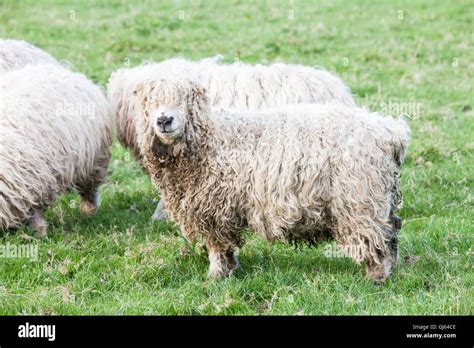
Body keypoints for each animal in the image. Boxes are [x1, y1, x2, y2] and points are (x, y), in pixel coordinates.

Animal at [0, 63, 112, 235]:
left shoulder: (35, 178)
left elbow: (35, 209)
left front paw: (39, 231)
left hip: (94, 160)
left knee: (90, 189)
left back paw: (89, 210)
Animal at [131, 77, 410, 282]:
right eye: (148, 102)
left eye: (185, 98)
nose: (164, 120)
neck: (210, 138)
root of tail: (389, 131)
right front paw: (228, 269)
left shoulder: (214, 210)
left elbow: (217, 246)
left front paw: (216, 275)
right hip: (379, 195)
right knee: (392, 230)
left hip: (359, 199)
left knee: (375, 237)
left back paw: (376, 277)